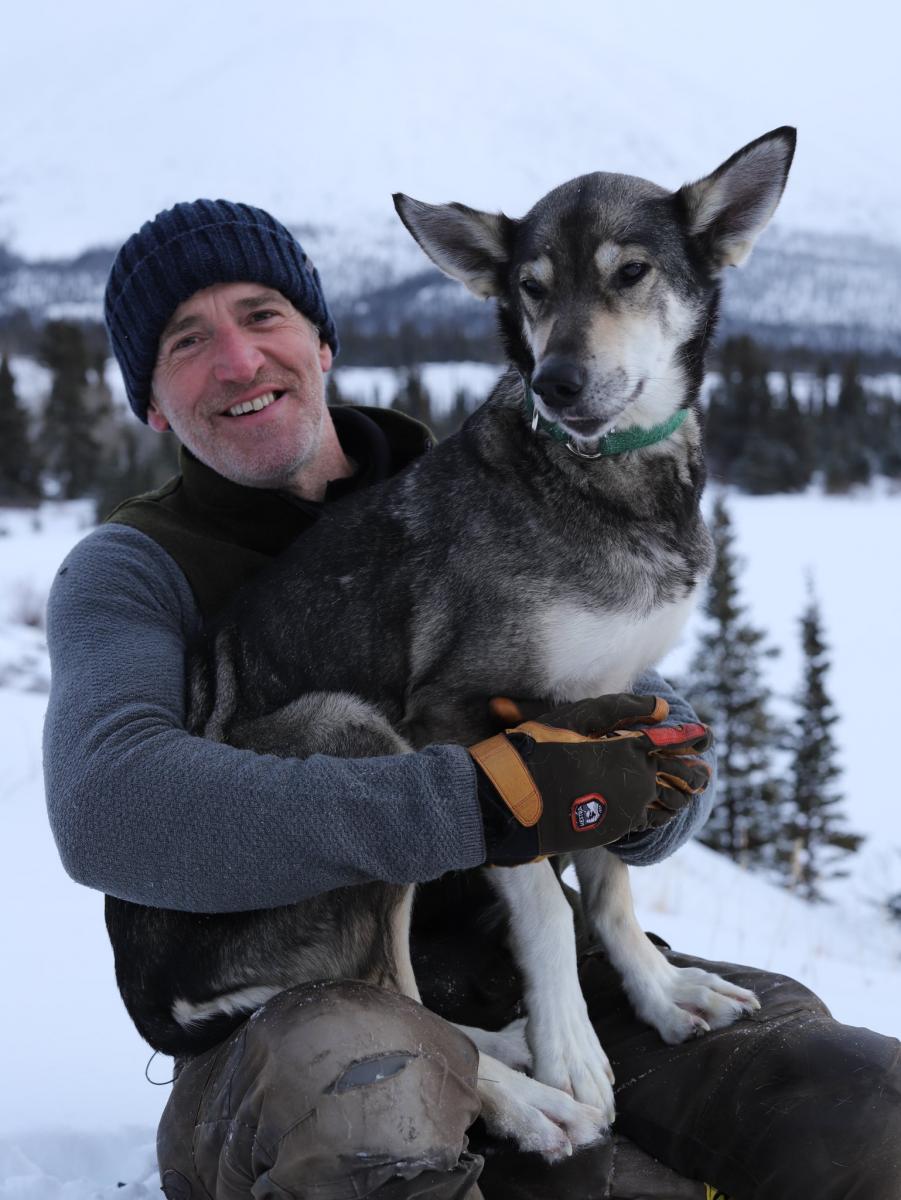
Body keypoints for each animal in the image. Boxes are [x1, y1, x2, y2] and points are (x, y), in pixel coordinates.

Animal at [107, 126, 796, 1156]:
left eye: (630, 273)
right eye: (532, 289)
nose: (557, 381)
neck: (604, 479)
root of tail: (152, 996)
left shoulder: (612, 713)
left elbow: (610, 888)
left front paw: (658, 991)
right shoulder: (474, 729)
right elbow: (543, 894)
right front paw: (572, 1048)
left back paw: (506, 1043)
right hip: (348, 730)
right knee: (388, 994)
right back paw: (527, 1095)